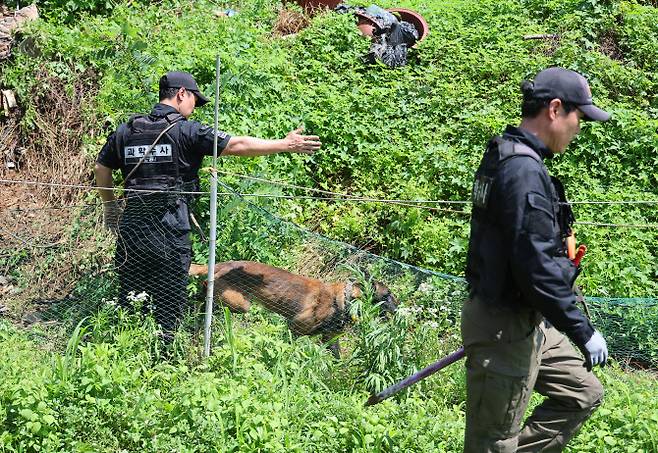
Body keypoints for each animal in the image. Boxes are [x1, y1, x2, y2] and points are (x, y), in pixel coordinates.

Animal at [187, 262, 398, 356]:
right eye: (387, 295)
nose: (398, 308)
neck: (341, 301)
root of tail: (219, 265)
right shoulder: (295, 328)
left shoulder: (330, 339)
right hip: (241, 304)